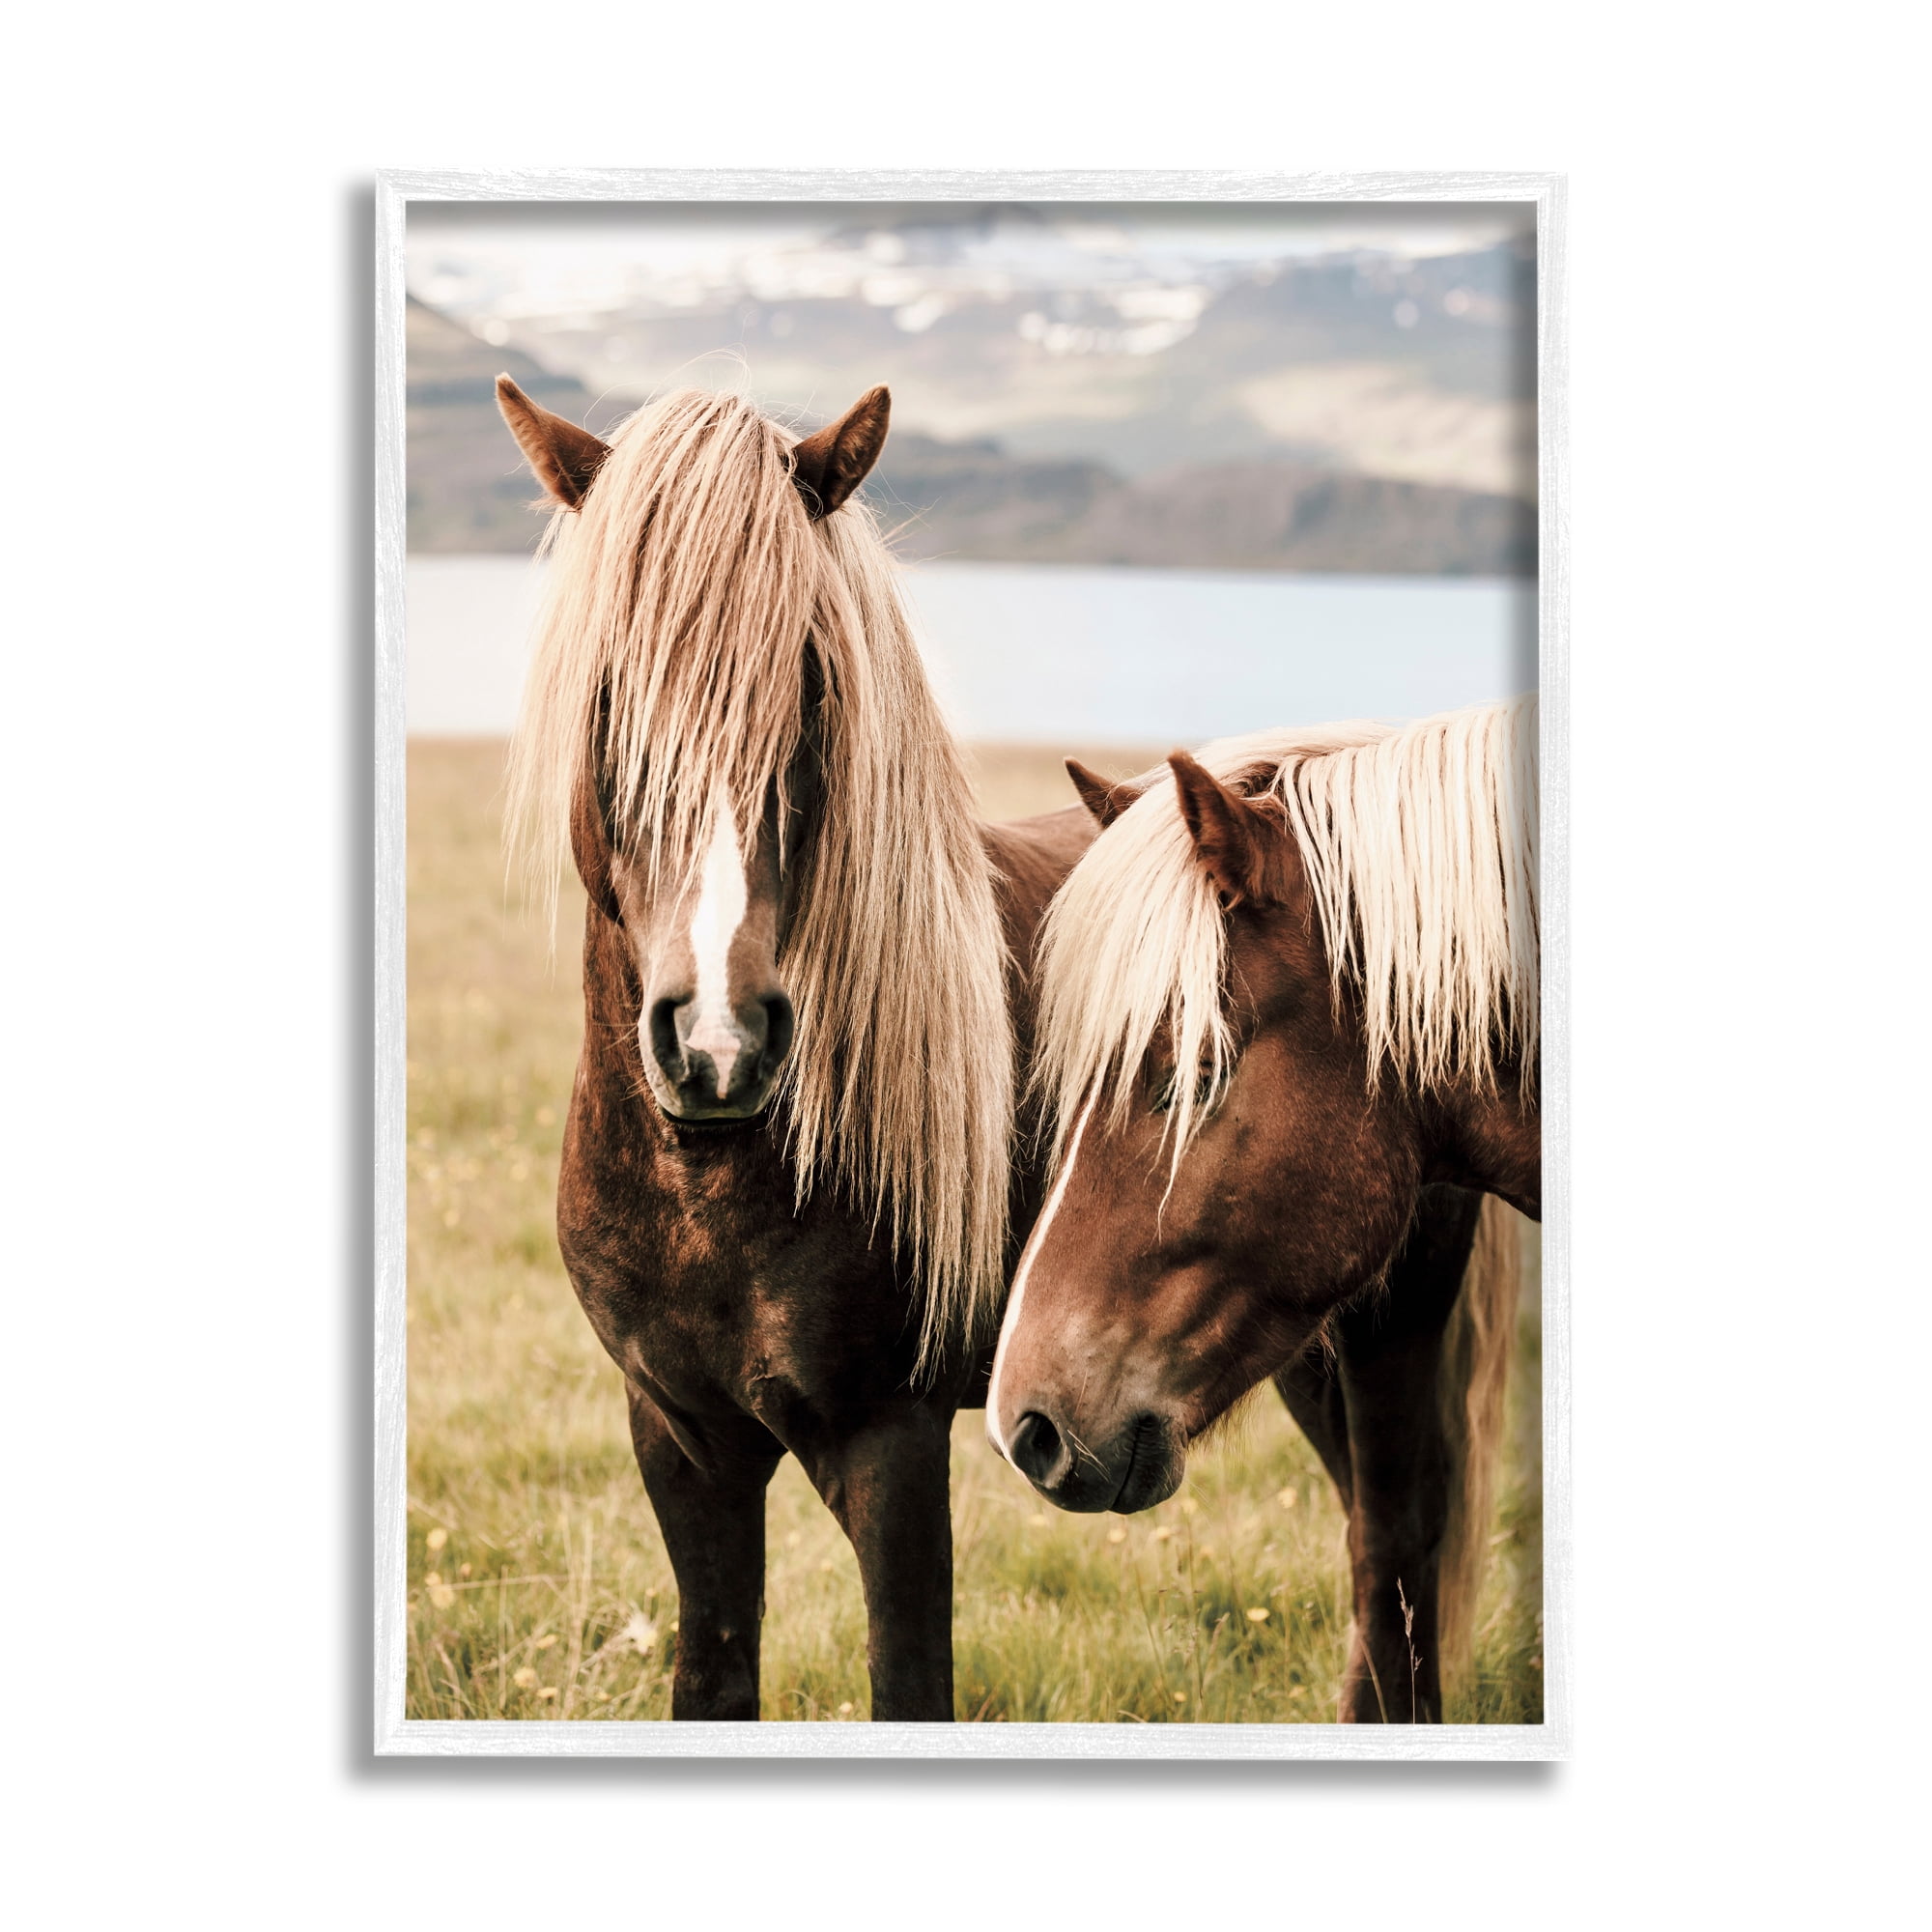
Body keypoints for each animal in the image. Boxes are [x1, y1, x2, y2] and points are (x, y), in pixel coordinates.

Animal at [492, 375, 1094, 1721]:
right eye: (607, 691)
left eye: (811, 685)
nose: (717, 1041)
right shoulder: (681, 1438)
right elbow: (713, 1672)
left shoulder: (889, 1443)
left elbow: (909, 1679)